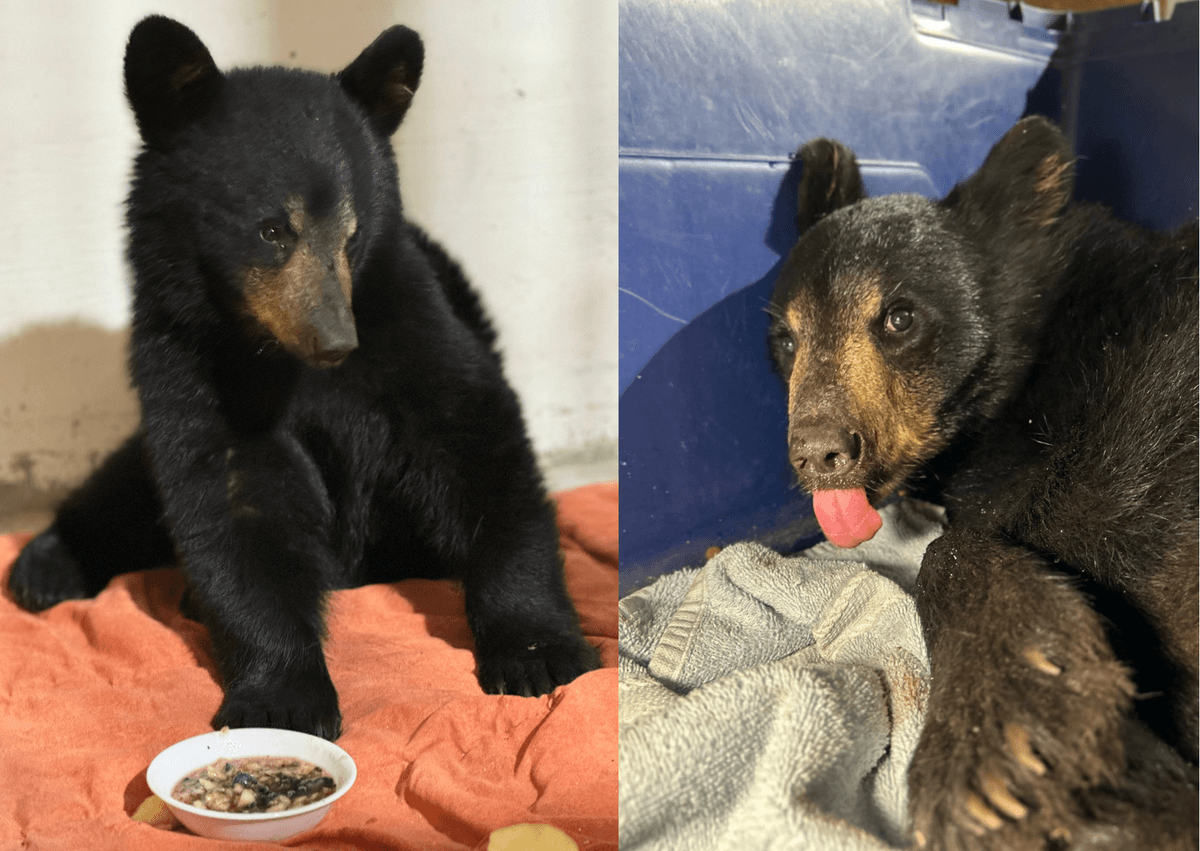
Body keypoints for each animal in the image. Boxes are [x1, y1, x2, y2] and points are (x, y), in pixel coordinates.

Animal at [6, 15, 599, 742]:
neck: (276, 359)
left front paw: (538, 652)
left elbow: (479, 446)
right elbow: (233, 502)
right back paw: (45, 566)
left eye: (352, 233)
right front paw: (282, 697)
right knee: (127, 485)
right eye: (270, 230)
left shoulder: (412, 331)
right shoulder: (186, 364)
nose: (336, 339)